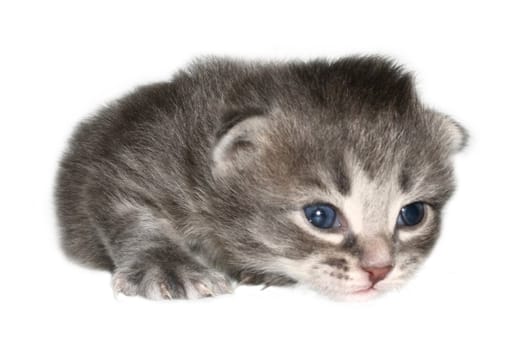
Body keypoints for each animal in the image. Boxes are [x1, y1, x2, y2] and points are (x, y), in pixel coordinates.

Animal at [54, 56, 466, 300]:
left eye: (412, 215)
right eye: (320, 216)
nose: (379, 270)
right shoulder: (131, 159)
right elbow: (133, 213)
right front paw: (167, 266)